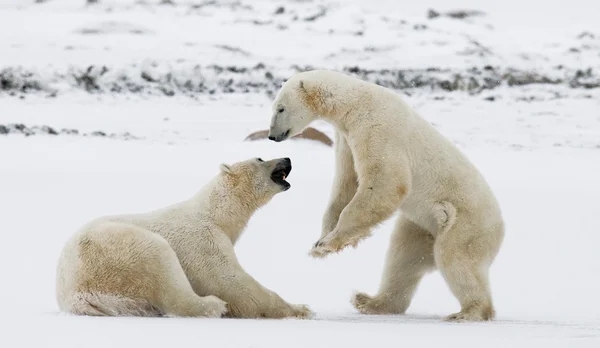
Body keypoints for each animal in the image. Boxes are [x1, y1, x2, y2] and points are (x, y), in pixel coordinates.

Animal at [55, 156, 314, 320]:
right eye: (260, 158)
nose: (287, 158)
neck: (216, 213)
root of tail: (75, 295)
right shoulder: (203, 240)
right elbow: (230, 282)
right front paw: (301, 308)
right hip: (116, 252)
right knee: (164, 271)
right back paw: (213, 305)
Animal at [268, 69, 506, 322]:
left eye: (280, 108)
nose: (272, 136)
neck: (354, 104)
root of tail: (500, 227)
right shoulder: (346, 139)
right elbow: (346, 184)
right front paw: (320, 241)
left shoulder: (378, 128)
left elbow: (386, 182)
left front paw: (328, 243)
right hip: (422, 227)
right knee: (403, 258)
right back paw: (369, 301)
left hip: (465, 224)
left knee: (456, 260)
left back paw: (468, 312)